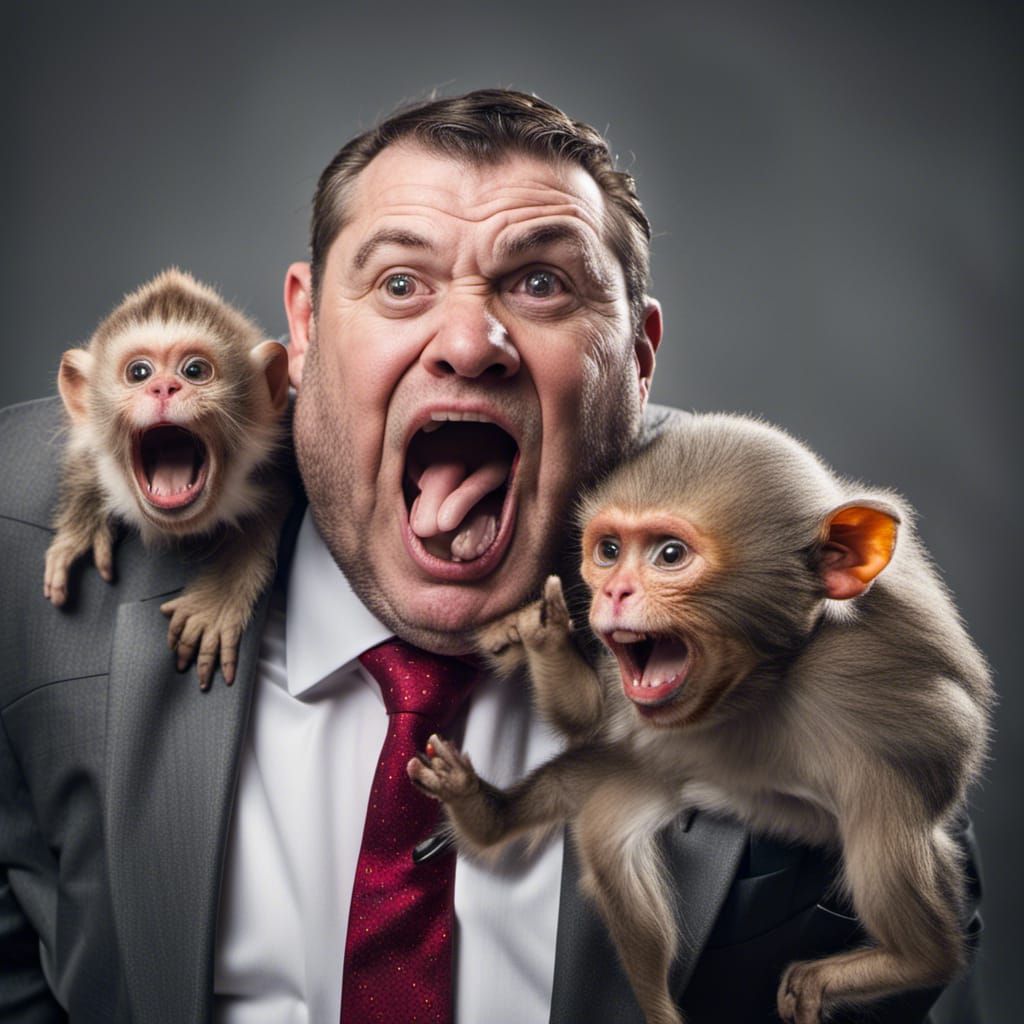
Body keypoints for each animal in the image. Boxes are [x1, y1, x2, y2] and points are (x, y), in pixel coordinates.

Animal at [408, 412, 993, 1024]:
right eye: (609, 550)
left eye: (669, 555)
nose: (613, 592)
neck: (754, 686)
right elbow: (588, 719)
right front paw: (539, 628)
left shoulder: (893, 698)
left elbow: (933, 760)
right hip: (652, 779)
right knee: (605, 836)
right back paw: (488, 818)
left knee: (888, 859)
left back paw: (913, 959)